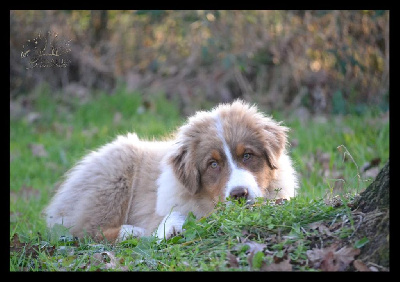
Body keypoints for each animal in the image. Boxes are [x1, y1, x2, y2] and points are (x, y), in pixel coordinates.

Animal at [43, 99, 296, 242]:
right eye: (213, 164)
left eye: (247, 156)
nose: (239, 194)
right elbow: (172, 215)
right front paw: (170, 229)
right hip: (112, 176)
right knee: (84, 230)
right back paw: (131, 232)